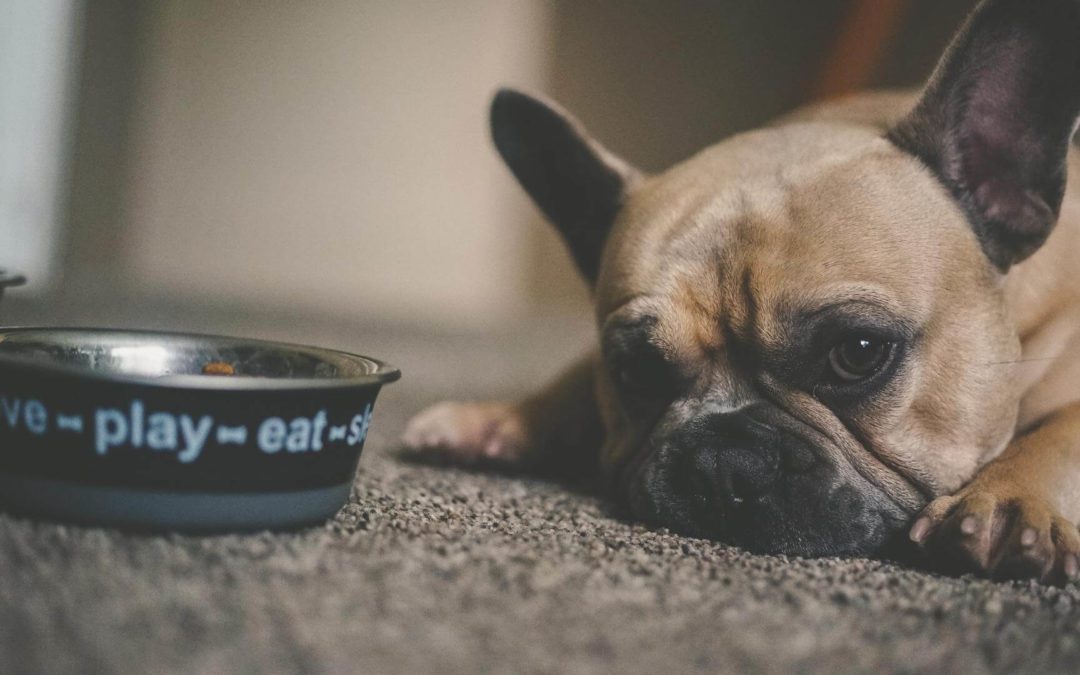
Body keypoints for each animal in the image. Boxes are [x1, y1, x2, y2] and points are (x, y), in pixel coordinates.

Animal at [401, 0, 1080, 583]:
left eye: (858, 353)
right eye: (635, 371)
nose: (723, 462)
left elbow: (1062, 432)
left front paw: (1006, 502)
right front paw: (501, 417)